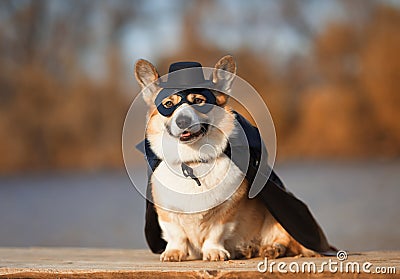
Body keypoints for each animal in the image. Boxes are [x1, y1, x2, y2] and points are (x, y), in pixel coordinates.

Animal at [134, 55, 318, 262]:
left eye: (198, 101)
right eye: (167, 105)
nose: (182, 121)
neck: (193, 161)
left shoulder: (226, 212)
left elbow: (215, 232)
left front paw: (214, 251)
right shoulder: (167, 212)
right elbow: (176, 235)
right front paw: (174, 252)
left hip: (277, 217)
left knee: (285, 240)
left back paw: (271, 248)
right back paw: (250, 249)